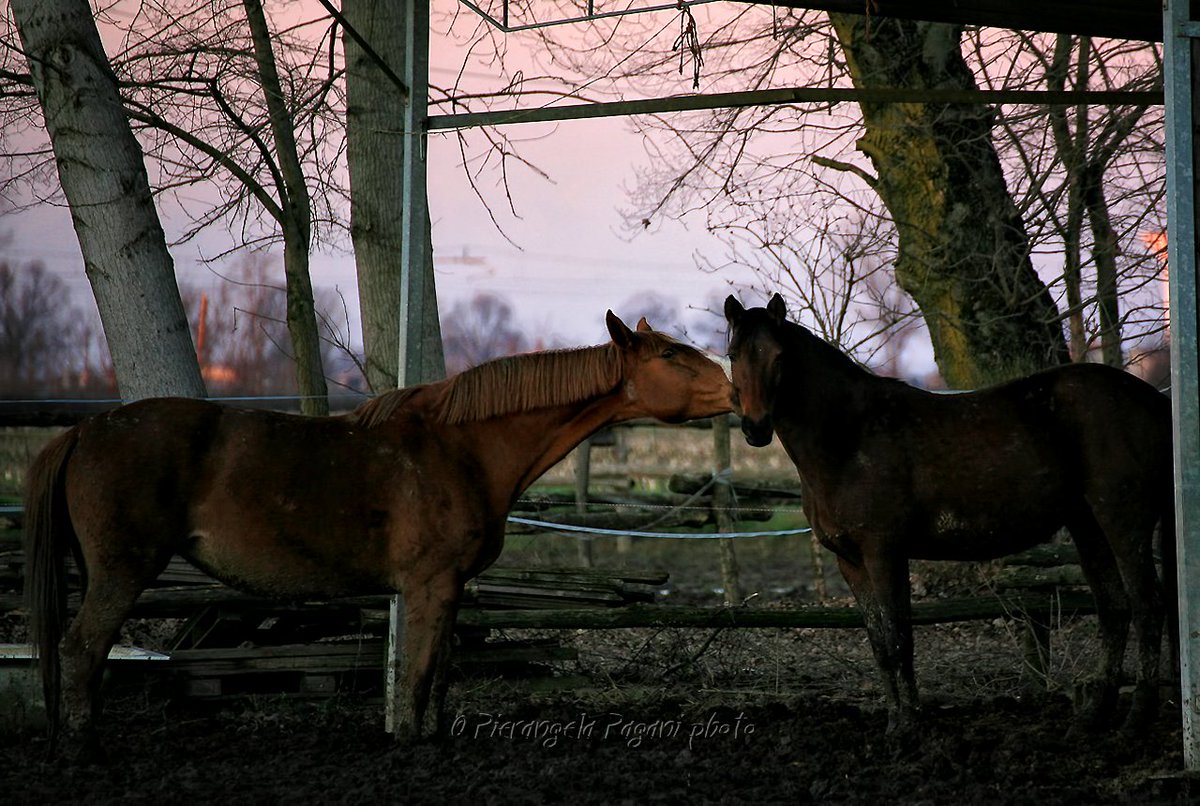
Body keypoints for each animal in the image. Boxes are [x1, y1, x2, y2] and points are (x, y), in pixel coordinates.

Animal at [28, 311, 734, 753]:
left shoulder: (445, 590)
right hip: (121, 572)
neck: (461, 447)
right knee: (81, 651)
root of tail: (85, 430)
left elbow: (440, 672)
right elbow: (419, 673)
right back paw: (83, 748)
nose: (735, 387)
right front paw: (412, 745)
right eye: (670, 354)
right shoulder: (429, 585)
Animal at [720, 293, 1171, 738]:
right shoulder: (851, 562)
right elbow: (879, 645)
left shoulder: (884, 554)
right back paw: (1094, 715)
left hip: (1123, 522)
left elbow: (899, 638)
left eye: (779, 356)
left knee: (1148, 606)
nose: (755, 428)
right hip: (1087, 526)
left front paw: (907, 727)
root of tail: (1153, 399)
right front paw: (895, 722)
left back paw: (1136, 719)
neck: (848, 437)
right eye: (733, 354)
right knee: (1114, 608)